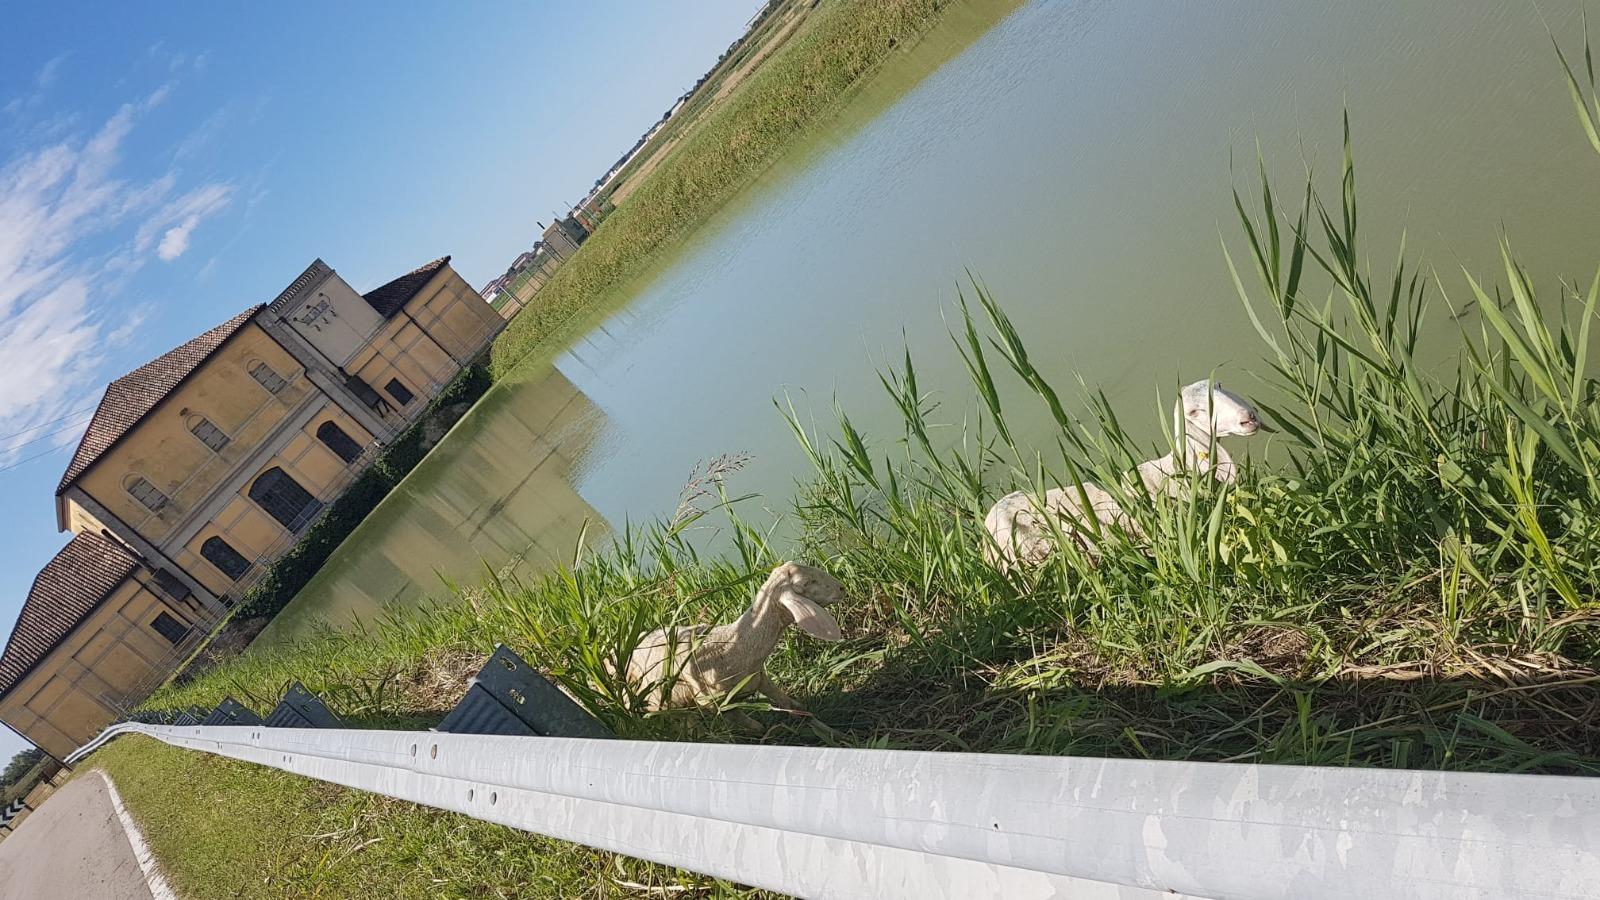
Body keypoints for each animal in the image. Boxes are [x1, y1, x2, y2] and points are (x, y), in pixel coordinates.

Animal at [624, 561, 846, 714]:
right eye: (807, 582)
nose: (842, 588)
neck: (733, 644)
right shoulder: (714, 704)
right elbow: (756, 729)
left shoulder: (760, 678)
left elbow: (792, 706)